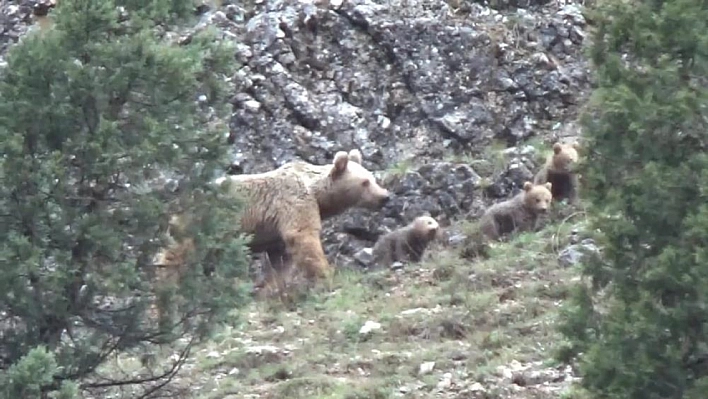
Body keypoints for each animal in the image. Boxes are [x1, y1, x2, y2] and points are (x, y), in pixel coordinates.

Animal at [153, 149, 392, 284]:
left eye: (373, 178)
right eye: (365, 182)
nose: (385, 197)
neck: (316, 191)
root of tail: (176, 200)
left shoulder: (276, 230)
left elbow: (281, 257)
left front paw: (275, 285)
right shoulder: (293, 201)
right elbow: (303, 235)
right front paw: (327, 272)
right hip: (197, 223)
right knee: (175, 257)